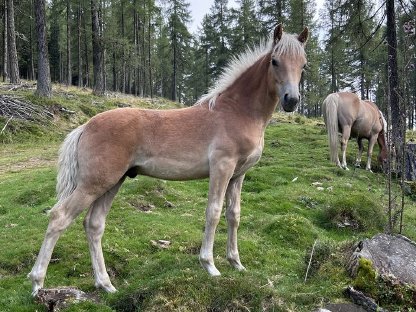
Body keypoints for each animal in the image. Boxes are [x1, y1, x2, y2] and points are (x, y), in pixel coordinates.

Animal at [28, 25, 308, 294]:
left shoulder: (238, 175)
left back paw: (106, 284)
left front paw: (236, 263)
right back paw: (37, 283)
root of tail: (85, 126)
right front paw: (210, 265)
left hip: (113, 182)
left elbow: (234, 215)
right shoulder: (222, 167)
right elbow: (213, 212)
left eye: (304, 64)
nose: (291, 100)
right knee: (59, 217)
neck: (237, 112)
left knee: (94, 225)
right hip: (94, 183)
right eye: (274, 61)